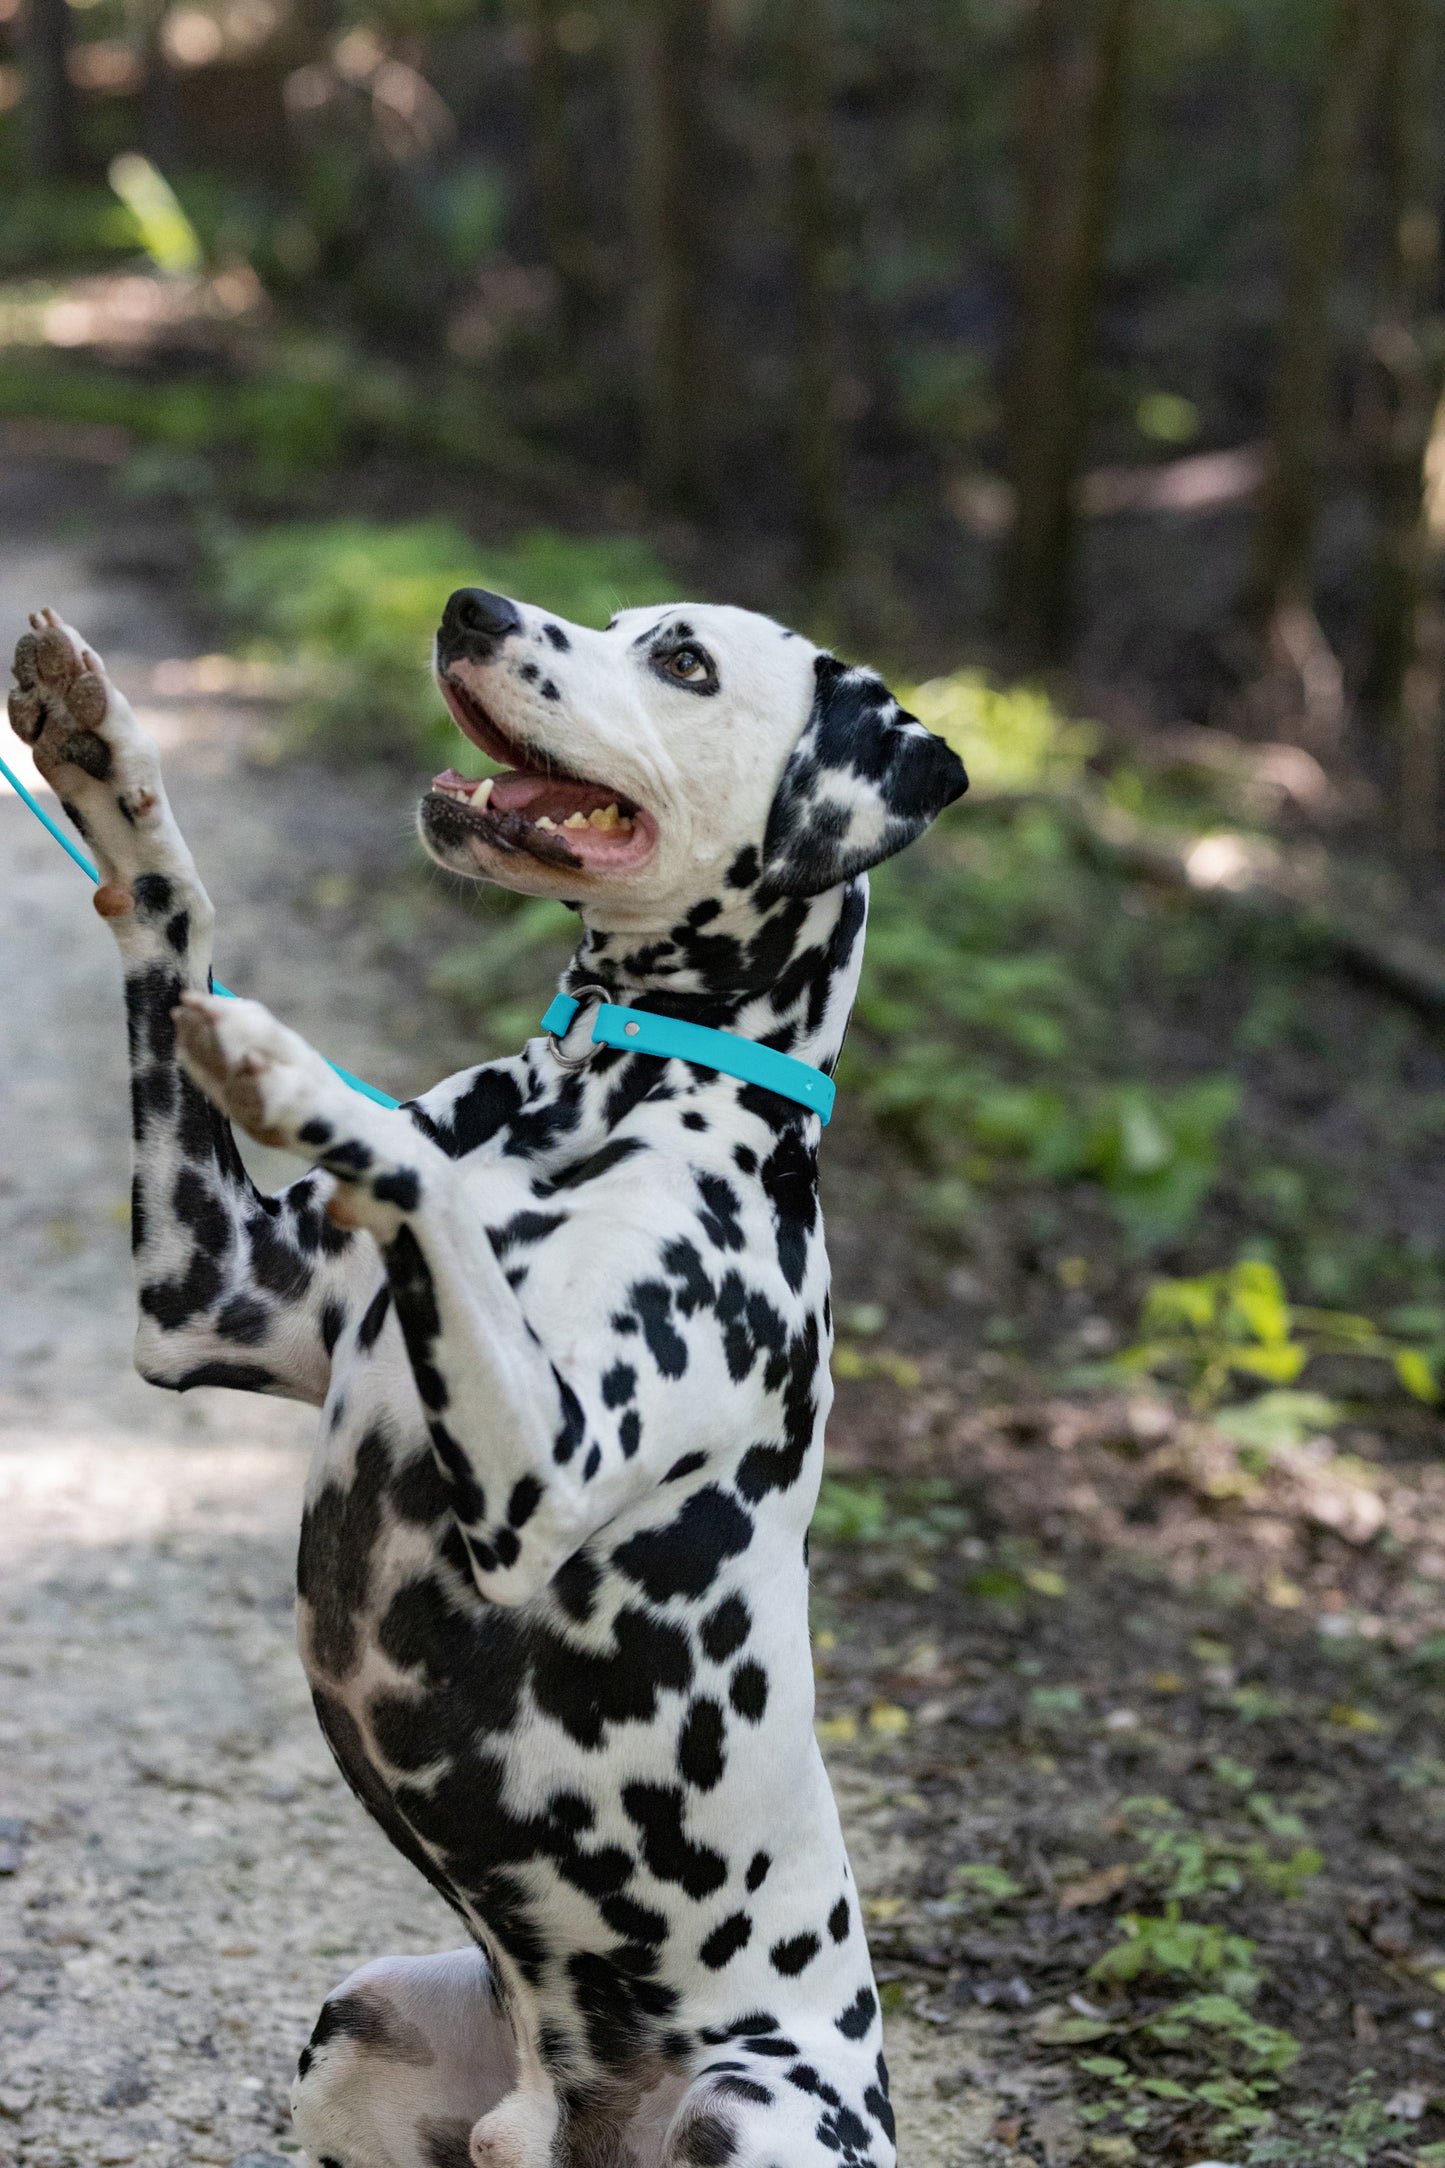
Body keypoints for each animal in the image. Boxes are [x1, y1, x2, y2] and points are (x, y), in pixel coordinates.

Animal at [11, 589, 966, 2168]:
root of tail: (558, 2118)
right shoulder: (203, 1292)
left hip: (750, 2106)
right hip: (356, 2023)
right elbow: (168, 912)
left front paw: (298, 1076)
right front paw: (103, 753)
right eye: (619, 616)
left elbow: (419, 1181)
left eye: (682, 659)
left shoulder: (542, 1475)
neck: (610, 1091)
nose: (473, 605)